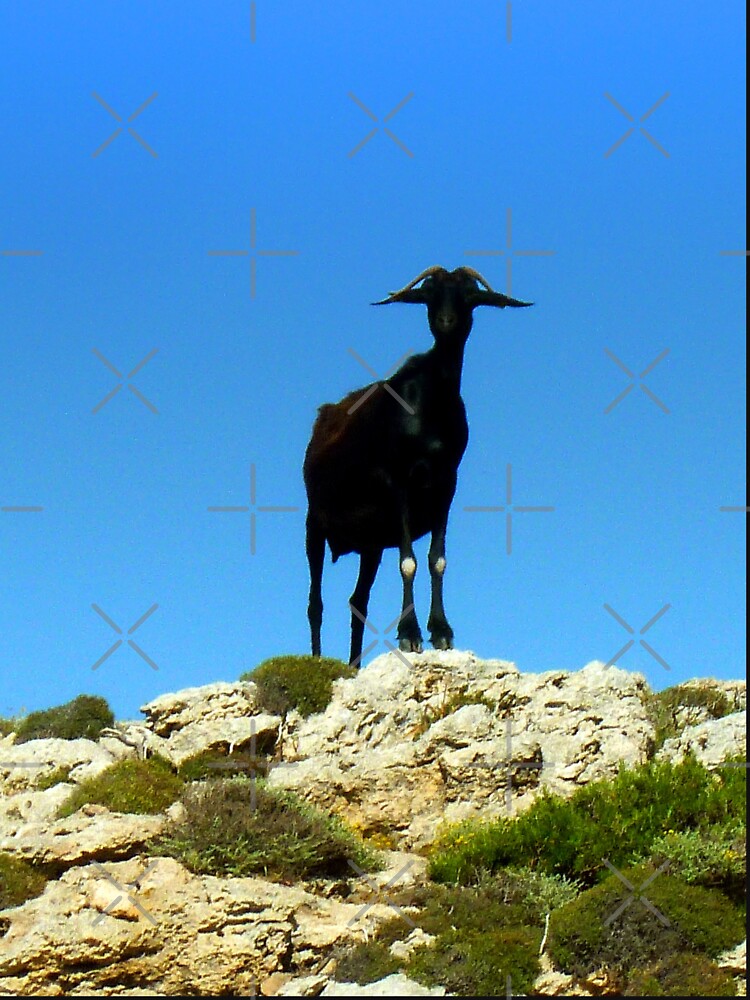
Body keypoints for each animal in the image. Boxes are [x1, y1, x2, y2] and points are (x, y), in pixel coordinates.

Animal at [303, 265, 532, 666]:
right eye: (429, 293)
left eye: (469, 295)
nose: (446, 322)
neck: (430, 408)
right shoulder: (400, 483)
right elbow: (408, 560)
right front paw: (410, 635)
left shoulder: (446, 485)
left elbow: (436, 559)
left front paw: (441, 631)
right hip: (314, 521)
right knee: (315, 603)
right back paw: (318, 660)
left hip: (370, 545)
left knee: (357, 600)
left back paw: (354, 666)